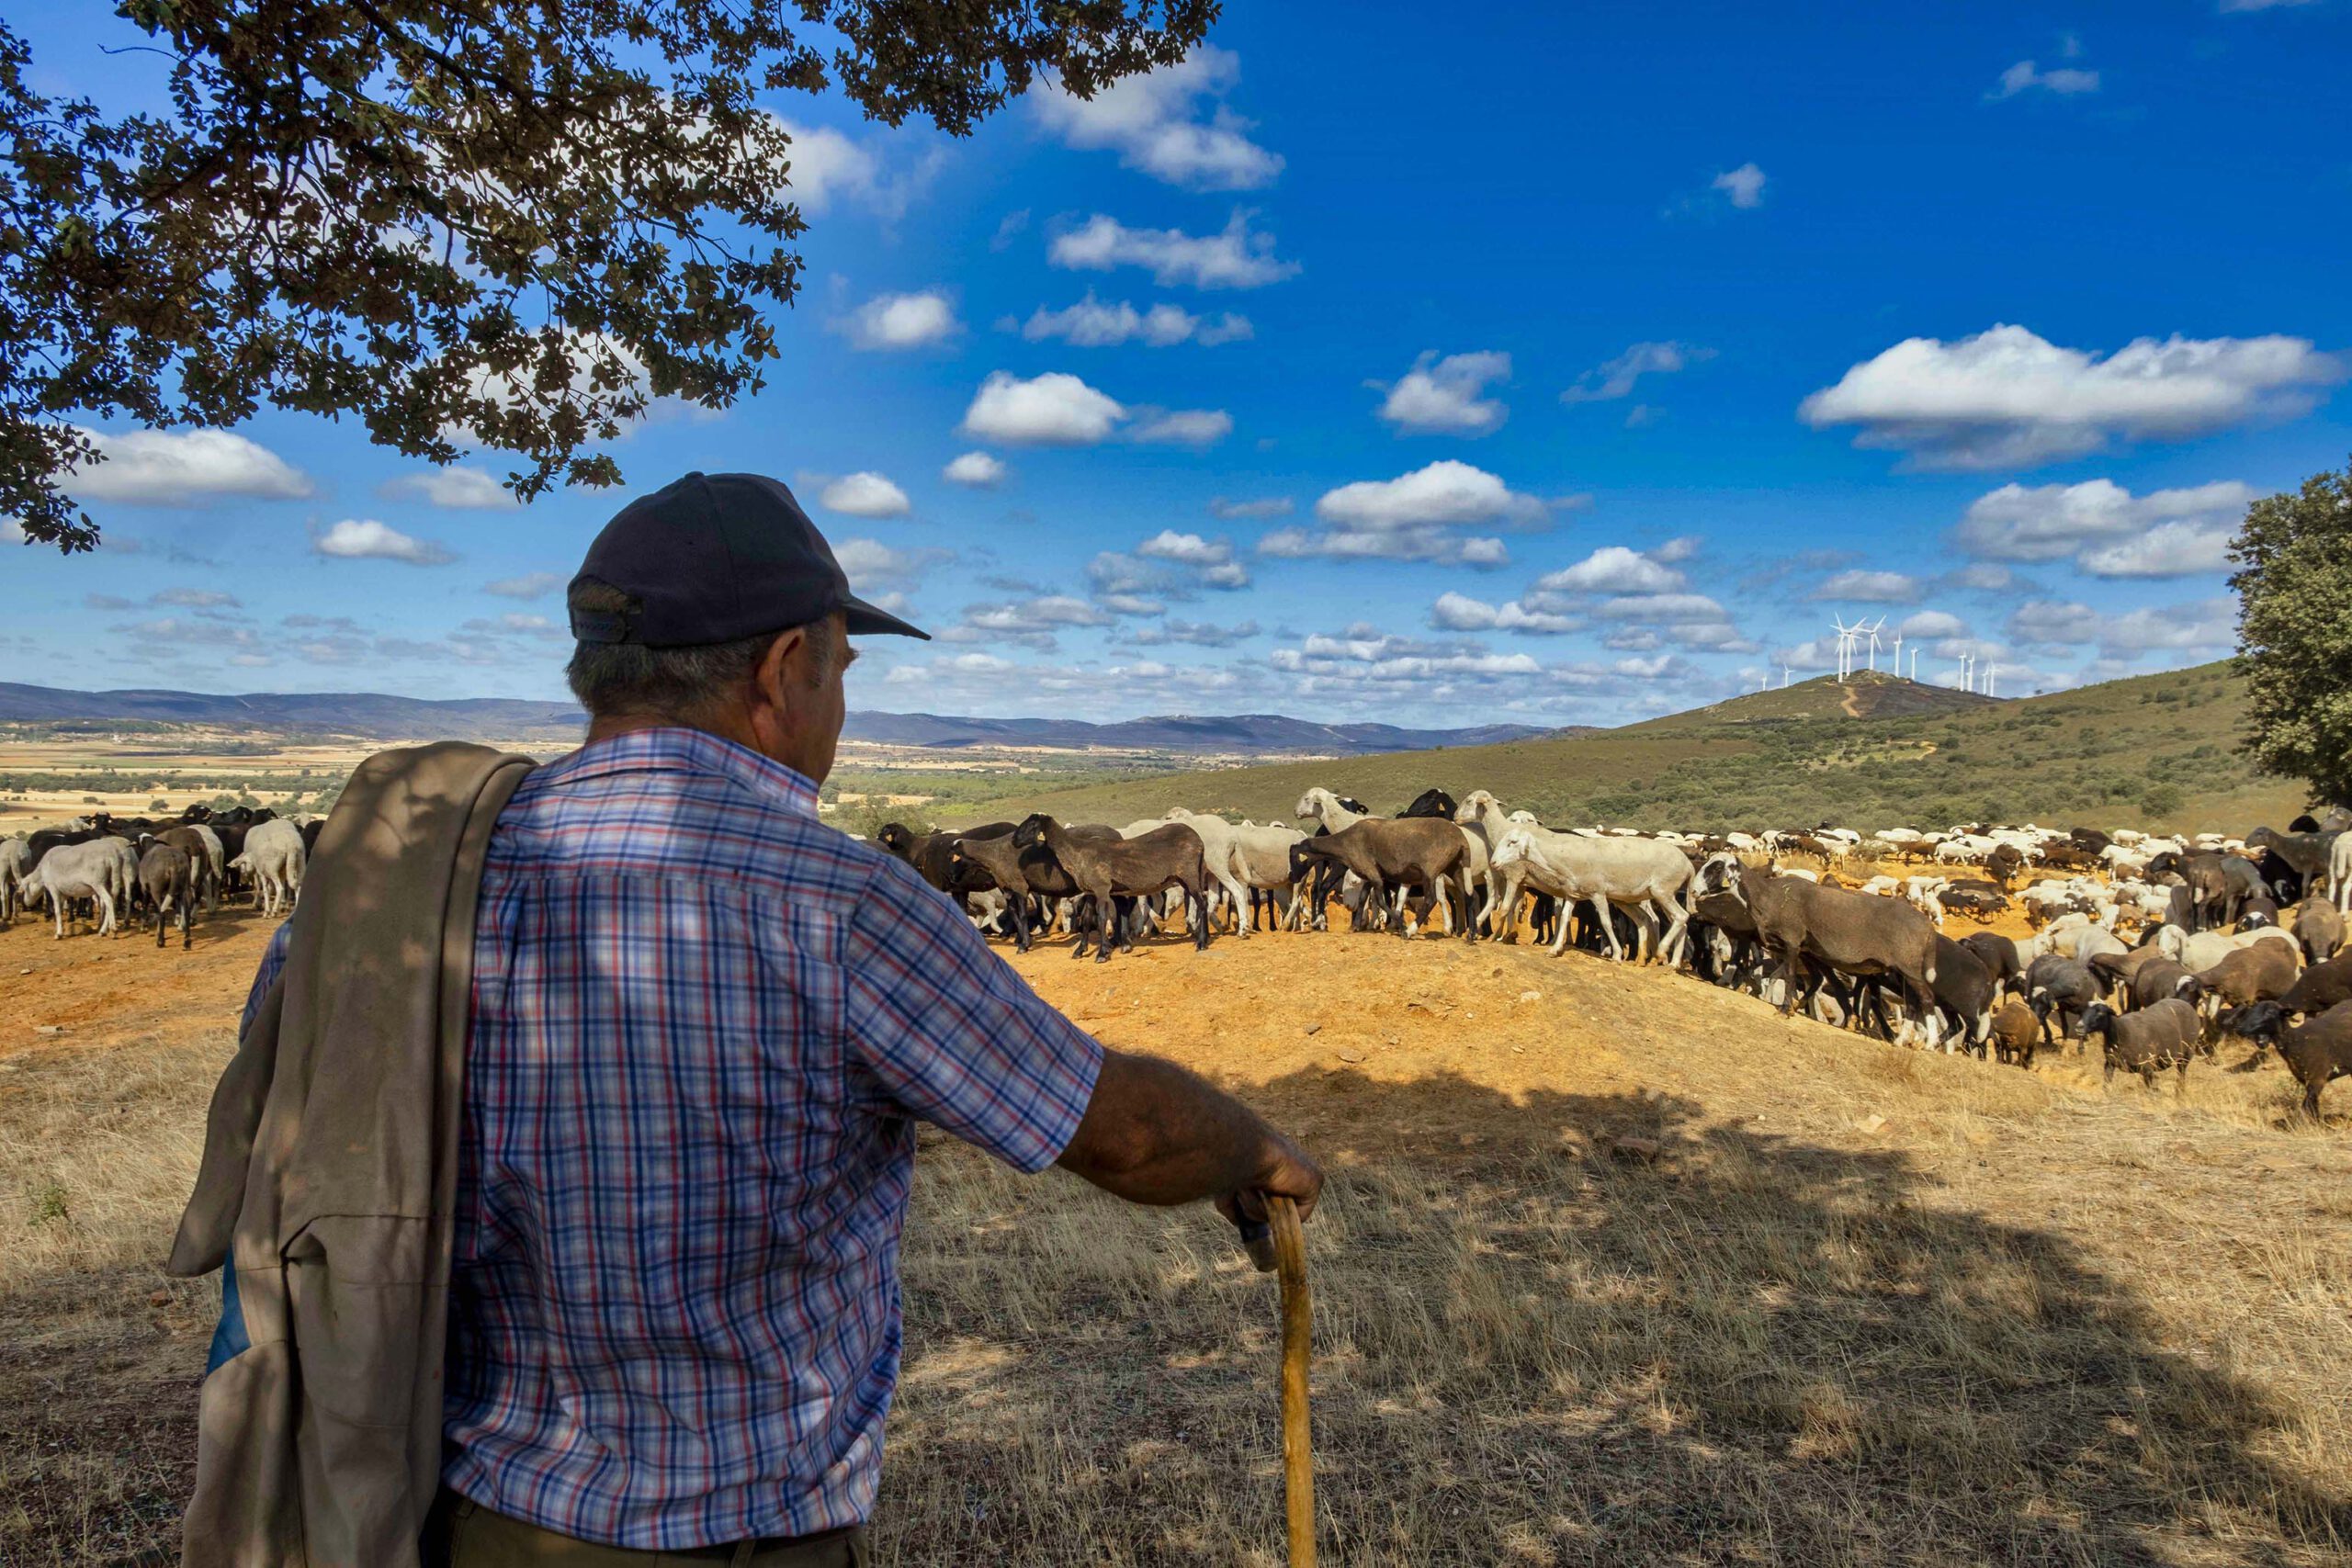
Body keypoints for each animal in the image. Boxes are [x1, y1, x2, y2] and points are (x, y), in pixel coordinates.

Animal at [2079, 999, 2203, 1089]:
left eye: (2100, 1013)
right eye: (2083, 1012)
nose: (2079, 1026)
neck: (2121, 1030)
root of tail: (2186, 1003)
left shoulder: (2147, 1067)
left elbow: (2150, 1091)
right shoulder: (2109, 1063)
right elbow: (2106, 1086)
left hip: (2186, 1055)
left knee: (2181, 1076)